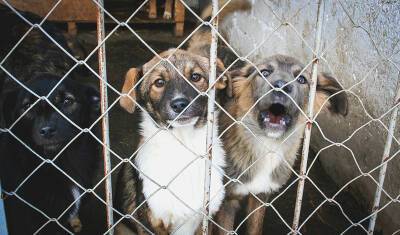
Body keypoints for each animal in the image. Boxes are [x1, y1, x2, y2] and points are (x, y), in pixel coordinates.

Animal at [115, 48, 231, 234]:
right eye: (159, 82)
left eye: (195, 77)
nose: (180, 104)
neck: (184, 148)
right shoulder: (152, 224)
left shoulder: (205, 219)